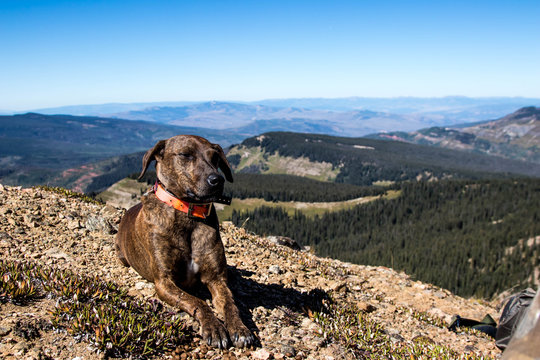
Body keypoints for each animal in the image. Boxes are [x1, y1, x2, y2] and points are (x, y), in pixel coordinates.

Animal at [115, 135, 254, 348]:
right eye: (185, 154)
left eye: (215, 158)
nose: (217, 180)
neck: (188, 214)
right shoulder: (164, 282)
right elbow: (197, 302)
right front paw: (214, 327)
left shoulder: (217, 279)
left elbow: (230, 304)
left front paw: (239, 328)